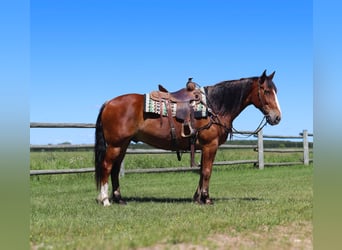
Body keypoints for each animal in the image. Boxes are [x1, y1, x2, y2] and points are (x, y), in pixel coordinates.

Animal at [93, 70, 280, 205]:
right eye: (266, 91)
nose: (277, 117)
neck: (213, 106)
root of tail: (109, 103)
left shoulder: (204, 147)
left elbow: (202, 171)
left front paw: (197, 197)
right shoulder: (210, 145)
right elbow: (207, 171)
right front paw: (206, 198)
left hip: (123, 145)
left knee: (115, 169)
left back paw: (119, 199)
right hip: (115, 145)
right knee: (107, 166)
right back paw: (105, 200)